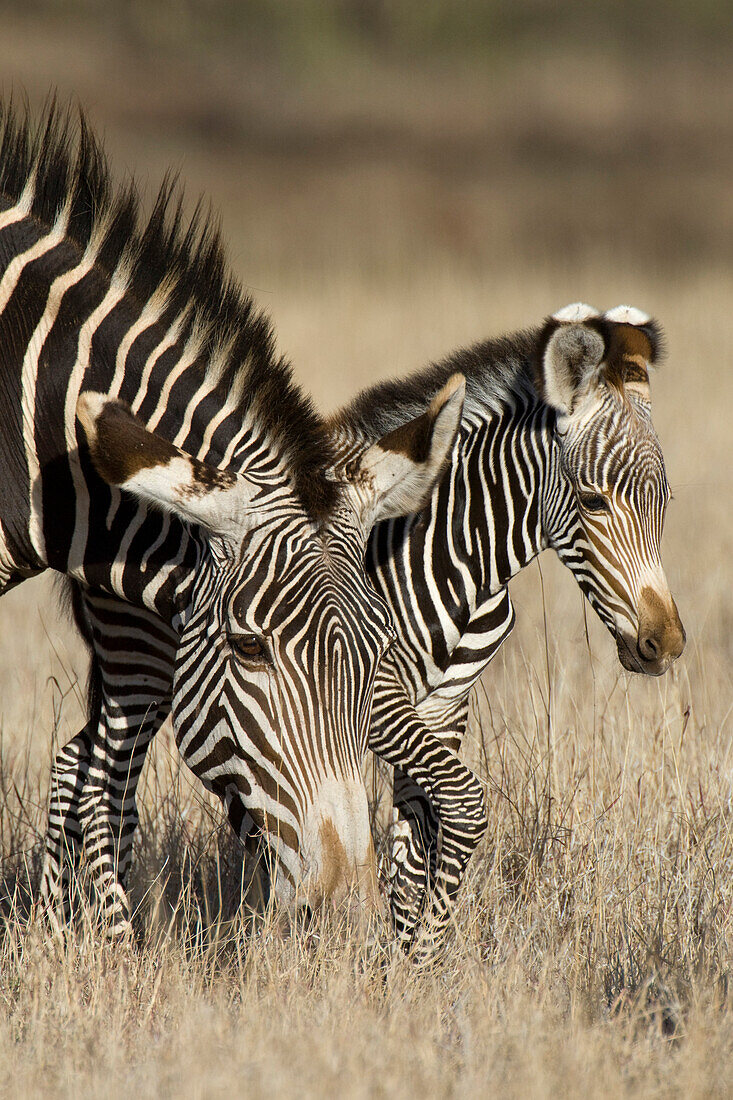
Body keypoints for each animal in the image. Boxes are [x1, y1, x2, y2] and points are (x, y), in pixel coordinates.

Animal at [330, 303, 686, 954]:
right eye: (593, 503)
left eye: (664, 501)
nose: (665, 645)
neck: (453, 561)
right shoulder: (374, 694)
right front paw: (415, 956)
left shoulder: (444, 707)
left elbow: (416, 848)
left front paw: (407, 962)